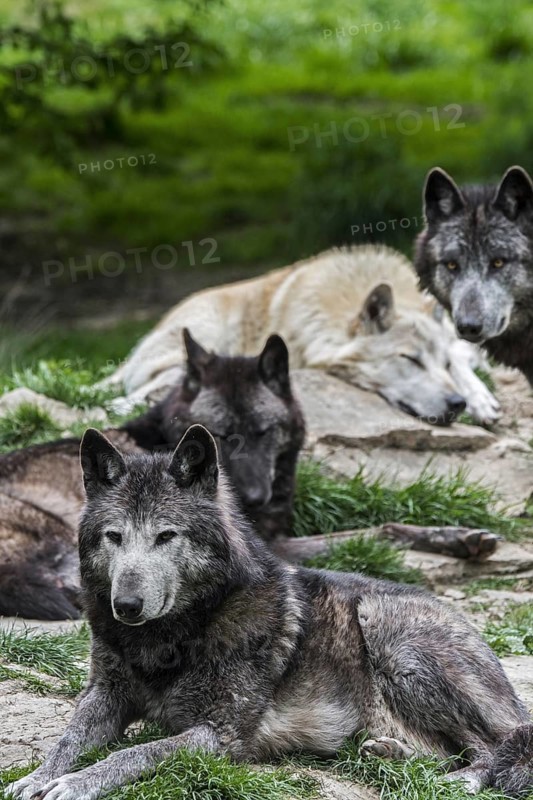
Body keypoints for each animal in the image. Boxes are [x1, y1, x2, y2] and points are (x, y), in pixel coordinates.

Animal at [7, 425, 532, 800]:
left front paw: (74, 783)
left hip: (393, 641)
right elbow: (66, 740)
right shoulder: (105, 695)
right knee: (448, 750)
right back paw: (392, 754)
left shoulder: (219, 736)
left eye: (166, 535)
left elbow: (135, 753)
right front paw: (34, 778)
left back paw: (459, 781)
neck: (172, 636)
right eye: (114, 536)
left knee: (498, 743)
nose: (126, 606)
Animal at [108, 245, 501, 426]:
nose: (456, 405)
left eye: (442, 364)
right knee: (140, 388)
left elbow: (464, 360)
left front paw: (480, 399)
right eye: (410, 359)